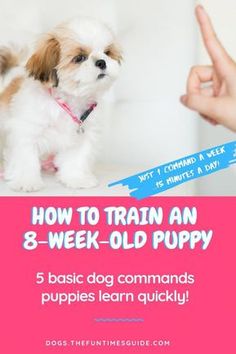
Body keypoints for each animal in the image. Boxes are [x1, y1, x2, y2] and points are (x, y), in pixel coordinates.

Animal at [0, 17, 121, 191]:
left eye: (107, 52)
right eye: (79, 58)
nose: (101, 62)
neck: (68, 101)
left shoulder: (81, 137)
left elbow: (76, 159)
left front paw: (77, 178)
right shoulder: (26, 131)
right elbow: (25, 158)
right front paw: (26, 181)